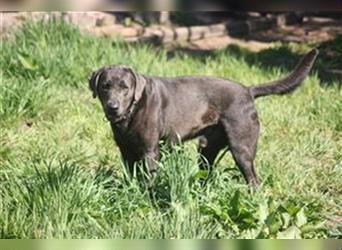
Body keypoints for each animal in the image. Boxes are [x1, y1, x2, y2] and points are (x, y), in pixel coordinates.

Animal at [89, 48, 318, 187]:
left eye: (125, 88)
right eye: (105, 86)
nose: (113, 107)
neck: (131, 113)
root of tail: (248, 90)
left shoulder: (150, 152)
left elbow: (149, 180)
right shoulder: (126, 151)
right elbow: (131, 176)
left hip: (241, 148)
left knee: (254, 180)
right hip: (206, 150)